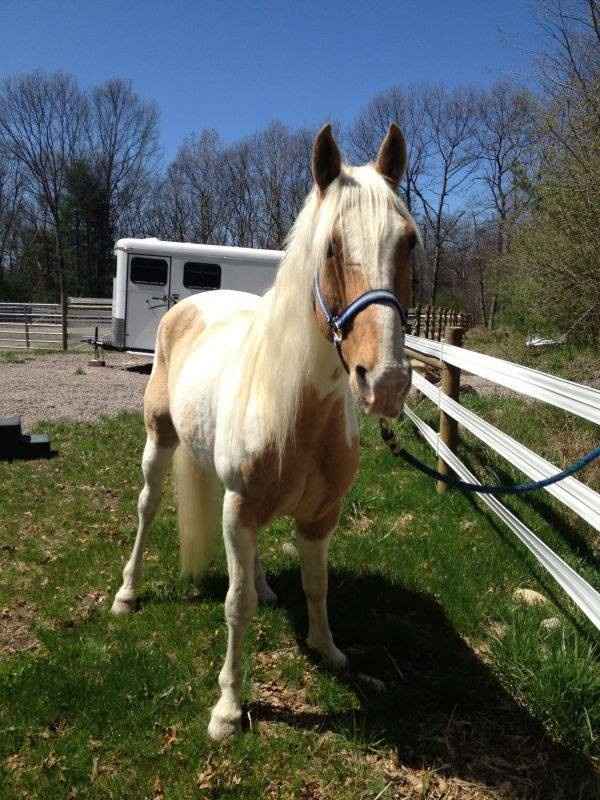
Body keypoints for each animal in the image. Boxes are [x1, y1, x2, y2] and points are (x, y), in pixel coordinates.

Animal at [111, 123, 416, 741]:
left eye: (410, 243)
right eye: (331, 247)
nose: (387, 382)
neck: (300, 410)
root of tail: (191, 305)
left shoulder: (319, 516)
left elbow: (316, 584)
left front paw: (328, 650)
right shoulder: (239, 510)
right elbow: (236, 607)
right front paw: (228, 709)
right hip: (160, 443)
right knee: (148, 507)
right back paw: (128, 593)